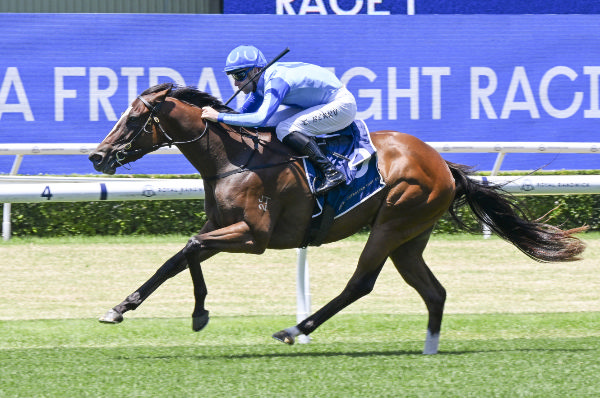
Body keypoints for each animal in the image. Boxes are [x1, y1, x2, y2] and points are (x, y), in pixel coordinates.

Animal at [89, 83, 584, 354]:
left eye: (133, 118)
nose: (97, 156)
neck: (232, 158)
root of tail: (442, 163)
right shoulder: (221, 228)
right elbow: (176, 258)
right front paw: (120, 308)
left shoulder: (253, 236)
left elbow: (190, 249)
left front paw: (199, 314)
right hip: (411, 236)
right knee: (434, 291)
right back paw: (429, 348)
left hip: (394, 220)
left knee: (360, 283)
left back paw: (295, 329)